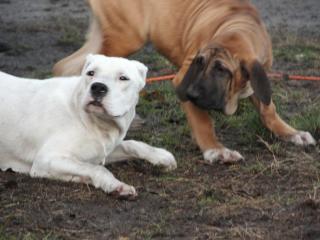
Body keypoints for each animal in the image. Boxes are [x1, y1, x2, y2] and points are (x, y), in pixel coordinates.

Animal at [0, 54, 178, 197]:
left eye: (123, 78)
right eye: (91, 73)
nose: (98, 87)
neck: (98, 124)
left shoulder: (101, 153)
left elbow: (133, 145)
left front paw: (162, 157)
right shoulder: (46, 161)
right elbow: (97, 169)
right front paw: (117, 186)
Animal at [53, 0, 316, 163]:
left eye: (222, 70)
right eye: (199, 63)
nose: (193, 94)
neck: (237, 25)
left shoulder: (257, 81)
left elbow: (268, 109)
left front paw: (291, 133)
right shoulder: (183, 78)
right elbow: (203, 121)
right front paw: (216, 151)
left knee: (65, 66)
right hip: (126, 37)